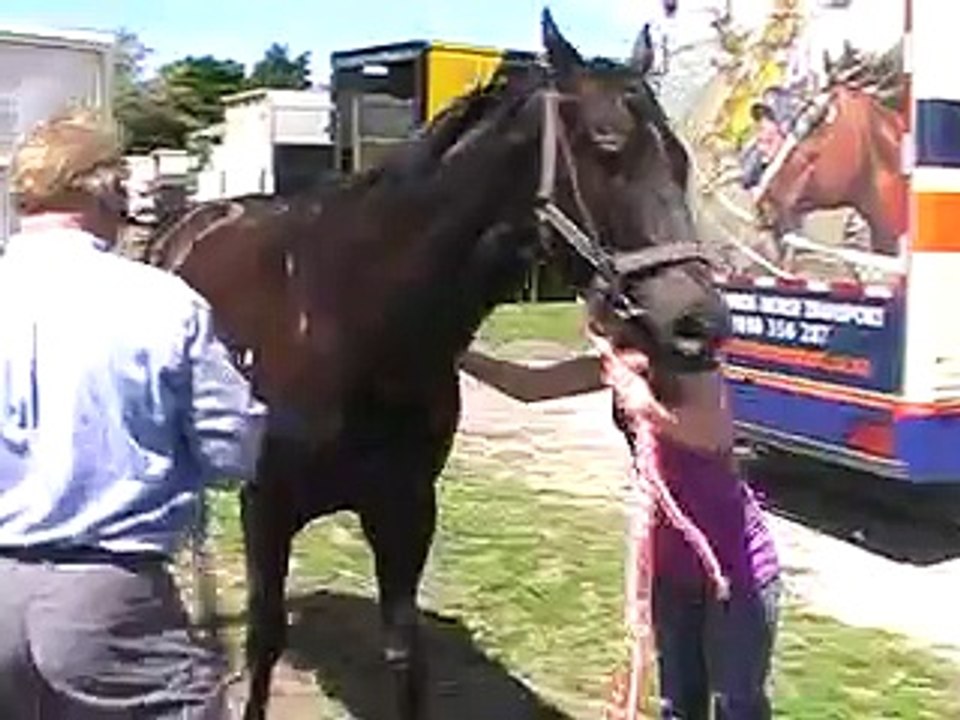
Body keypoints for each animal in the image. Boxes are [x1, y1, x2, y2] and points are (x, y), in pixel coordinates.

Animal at [150, 9, 730, 719]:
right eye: (607, 146)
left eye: (679, 159)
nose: (700, 325)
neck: (349, 325)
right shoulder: (267, 508)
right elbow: (264, 639)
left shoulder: (407, 512)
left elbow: (405, 654)